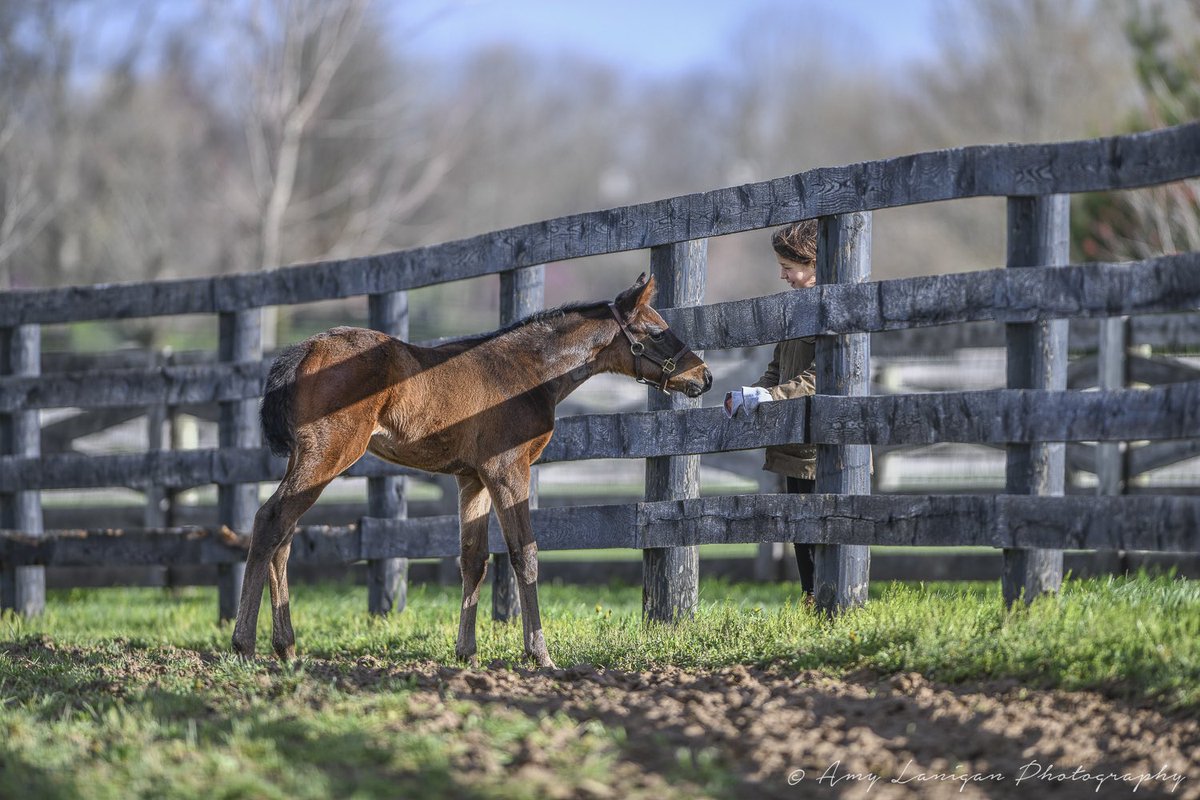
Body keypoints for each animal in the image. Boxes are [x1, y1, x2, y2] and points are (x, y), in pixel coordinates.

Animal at [230, 274, 712, 668]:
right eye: (656, 332)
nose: (703, 377)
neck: (527, 372)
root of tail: (305, 348)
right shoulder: (507, 470)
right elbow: (524, 553)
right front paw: (539, 653)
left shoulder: (472, 478)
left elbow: (473, 560)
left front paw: (467, 653)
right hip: (329, 453)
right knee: (270, 521)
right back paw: (244, 645)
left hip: (307, 458)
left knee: (284, 534)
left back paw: (286, 647)